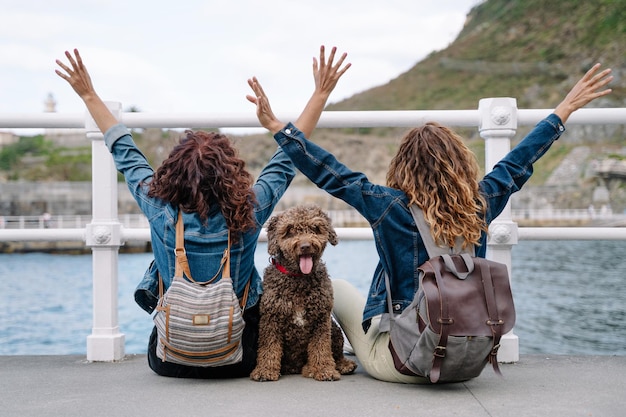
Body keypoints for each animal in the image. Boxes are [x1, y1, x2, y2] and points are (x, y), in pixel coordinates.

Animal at [249, 203, 356, 382]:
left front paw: (324, 369)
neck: (298, 279)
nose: (305, 246)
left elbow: (321, 347)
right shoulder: (271, 319)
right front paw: (265, 370)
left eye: (315, 228)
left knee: (337, 352)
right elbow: (269, 346)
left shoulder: (321, 319)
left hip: (334, 328)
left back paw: (341, 365)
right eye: (290, 230)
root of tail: (296, 367)